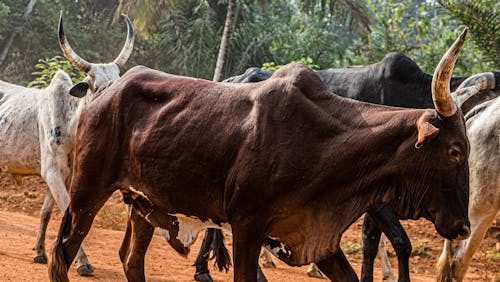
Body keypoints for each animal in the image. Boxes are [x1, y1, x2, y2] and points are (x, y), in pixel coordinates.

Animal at [0, 12, 135, 276]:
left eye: (118, 82)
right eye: (94, 86)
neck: (72, 125)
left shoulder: (66, 175)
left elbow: (46, 212)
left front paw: (40, 252)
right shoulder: (52, 172)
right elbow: (67, 212)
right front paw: (82, 263)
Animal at [47, 29, 472, 282]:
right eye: (455, 150)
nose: (464, 227)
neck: (326, 144)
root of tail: (104, 94)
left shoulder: (318, 238)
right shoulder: (248, 227)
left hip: (143, 203)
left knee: (131, 260)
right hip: (86, 194)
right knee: (60, 254)